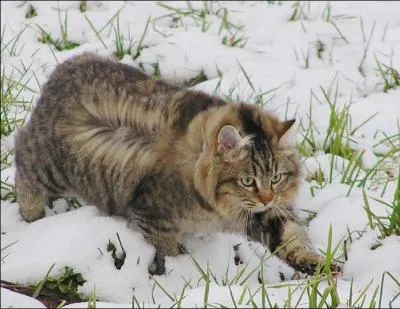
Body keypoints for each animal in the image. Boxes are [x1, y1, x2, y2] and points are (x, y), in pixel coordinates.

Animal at [14, 52, 330, 274]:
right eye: (247, 181)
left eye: (276, 178)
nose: (267, 197)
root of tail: (65, 67)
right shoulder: (152, 216)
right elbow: (169, 252)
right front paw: (178, 276)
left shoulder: (265, 214)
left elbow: (292, 236)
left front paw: (317, 264)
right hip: (46, 165)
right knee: (22, 159)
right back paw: (31, 217)